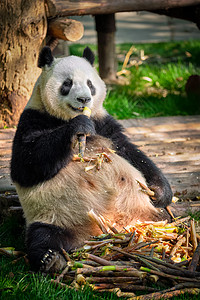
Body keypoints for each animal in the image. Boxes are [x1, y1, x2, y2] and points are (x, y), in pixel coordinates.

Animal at [10, 46, 172, 272]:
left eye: (90, 84)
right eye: (67, 84)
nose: (84, 99)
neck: (63, 118)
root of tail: (102, 231)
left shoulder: (103, 123)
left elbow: (130, 152)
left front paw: (160, 191)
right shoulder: (33, 118)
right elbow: (25, 164)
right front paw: (77, 127)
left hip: (146, 212)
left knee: (165, 218)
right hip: (53, 216)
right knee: (42, 236)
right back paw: (51, 259)